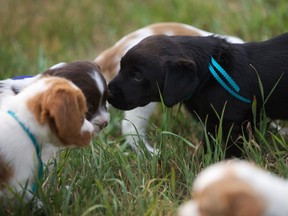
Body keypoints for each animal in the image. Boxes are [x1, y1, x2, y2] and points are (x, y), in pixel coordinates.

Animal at [107, 33, 288, 157]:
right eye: (121, 67)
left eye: (137, 75)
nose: (108, 93)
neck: (212, 75)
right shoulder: (212, 122)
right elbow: (209, 145)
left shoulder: (234, 125)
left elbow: (232, 151)